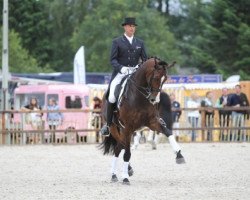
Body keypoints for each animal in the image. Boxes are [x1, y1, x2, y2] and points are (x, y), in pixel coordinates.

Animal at [100, 57, 185, 185]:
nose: (154, 99)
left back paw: (117, 174)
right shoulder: (128, 127)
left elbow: (168, 132)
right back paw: (120, 173)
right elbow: (127, 153)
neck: (139, 97)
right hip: (116, 129)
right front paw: (125, 178)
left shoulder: (152, 122)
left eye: (165, 79)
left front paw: (179, 154)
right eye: (155, 77)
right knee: (121, 148)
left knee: (118, 148)